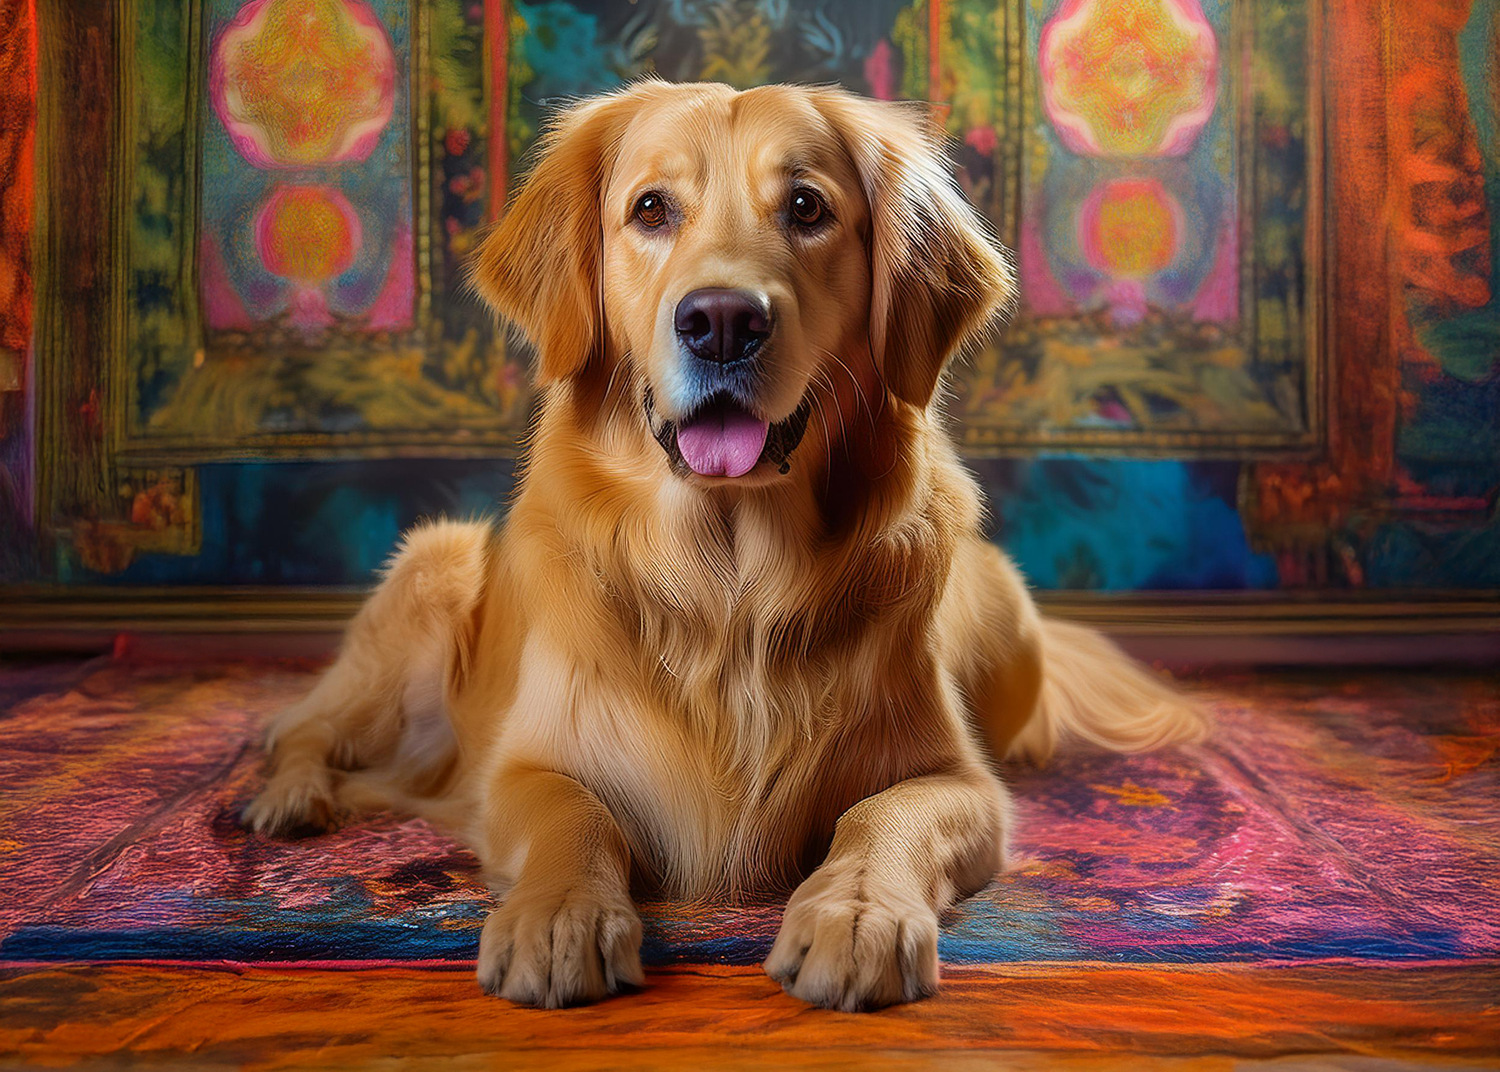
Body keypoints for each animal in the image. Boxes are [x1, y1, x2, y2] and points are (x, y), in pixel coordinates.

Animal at [246, 79, 1206, 1013]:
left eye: (808, 207)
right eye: (651, 209)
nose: (721, 322)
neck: (732, 584)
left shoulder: (963, 784)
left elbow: (880, 818)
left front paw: (855, 916)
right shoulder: (525, 766)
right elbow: (571, 817)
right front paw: (559, 918)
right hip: (432, 566)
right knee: (302, 727)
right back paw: (289, 797)